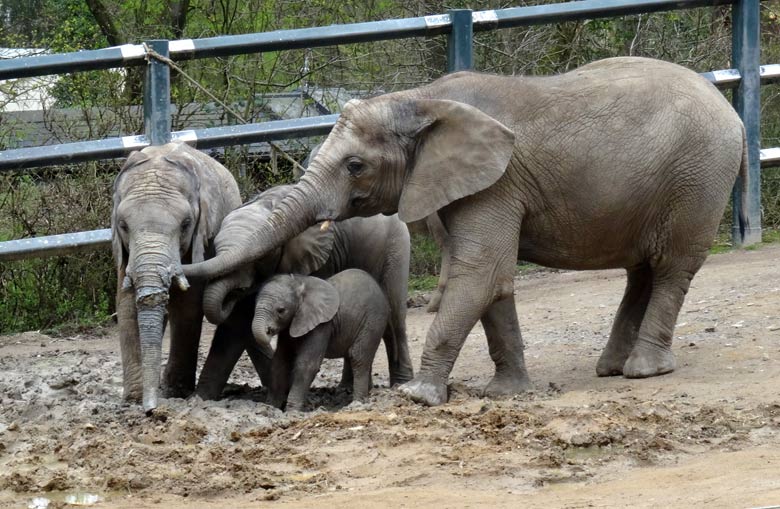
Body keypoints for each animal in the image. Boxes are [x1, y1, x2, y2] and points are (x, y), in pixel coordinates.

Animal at [110, 141, 241, 410]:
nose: (151, 410)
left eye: (186, 224)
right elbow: (127, 304)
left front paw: (174, 393)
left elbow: (188, 305)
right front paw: (134, 399)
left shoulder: (203, 239)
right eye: (123, 225)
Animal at [195, 184, 414, 400]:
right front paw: (201, 398)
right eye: (214, 249)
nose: (234, 293)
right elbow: (237, 321)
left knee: (395, 318)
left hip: (396, 247)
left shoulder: (321, 256)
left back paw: (400, 384)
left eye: (260, 257)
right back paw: (346, 389)